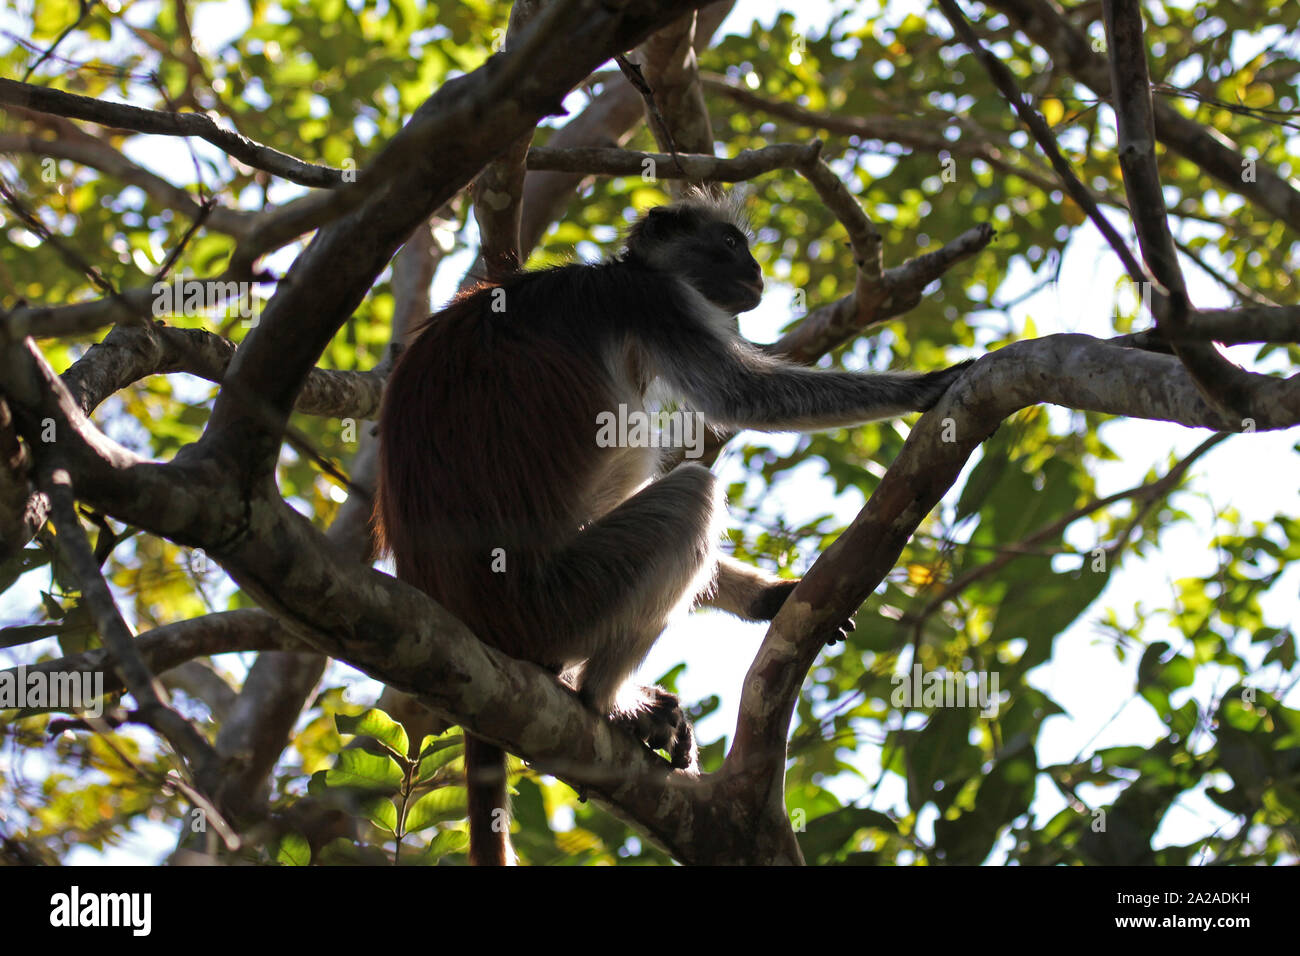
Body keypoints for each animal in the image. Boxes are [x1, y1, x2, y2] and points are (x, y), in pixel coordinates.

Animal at [373, 191, 971, 865]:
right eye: (731, 243)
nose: (756, 269)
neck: (625, 271)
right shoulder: (656, 303)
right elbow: (749, 397)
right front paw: (927, 386)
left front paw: (773, 598)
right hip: (556, 602)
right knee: (690, 495)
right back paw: (604, 703)